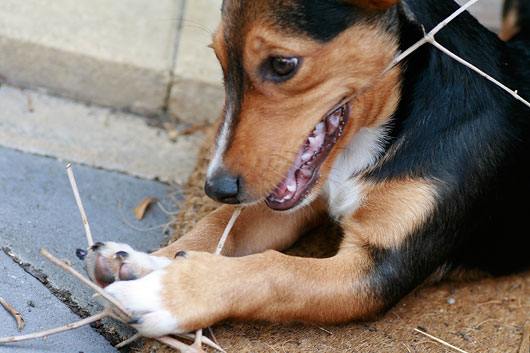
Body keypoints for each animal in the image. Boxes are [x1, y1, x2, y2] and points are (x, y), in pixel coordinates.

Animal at [83, 0, 528, 336]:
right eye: (217, 55)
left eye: (282, 64)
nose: (216, 188)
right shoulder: (296, 197)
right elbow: (217, 226)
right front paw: (143, 262)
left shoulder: (379, 268)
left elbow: (277, 271)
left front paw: (168, 293)